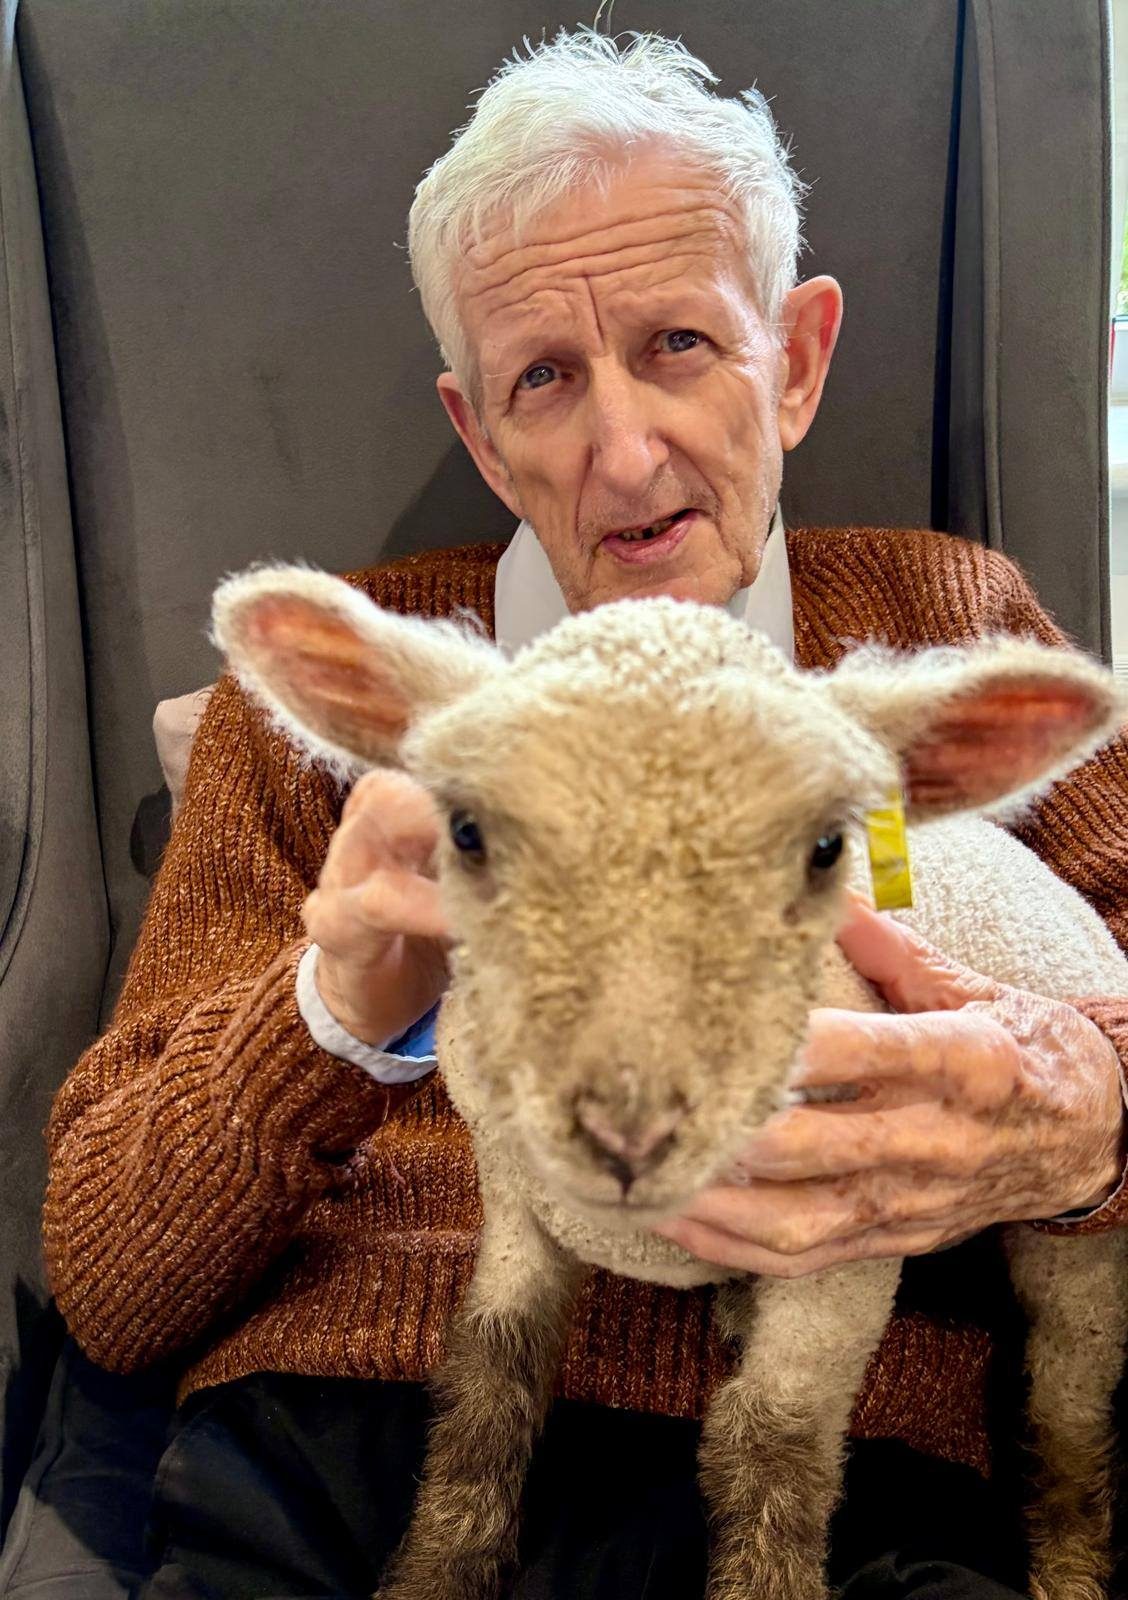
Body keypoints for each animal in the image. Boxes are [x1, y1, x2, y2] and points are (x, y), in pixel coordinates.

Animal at [211, 563, 1128, 1600]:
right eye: (466, 832)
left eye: (826, 849)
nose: (629, 1135)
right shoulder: (516, 1196)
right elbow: (491, 1372)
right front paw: (439, 1571)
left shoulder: (855, 1244)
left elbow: (775, 1443)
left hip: (1076, 1248)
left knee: (1070, 1397)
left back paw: (1069, 1567)